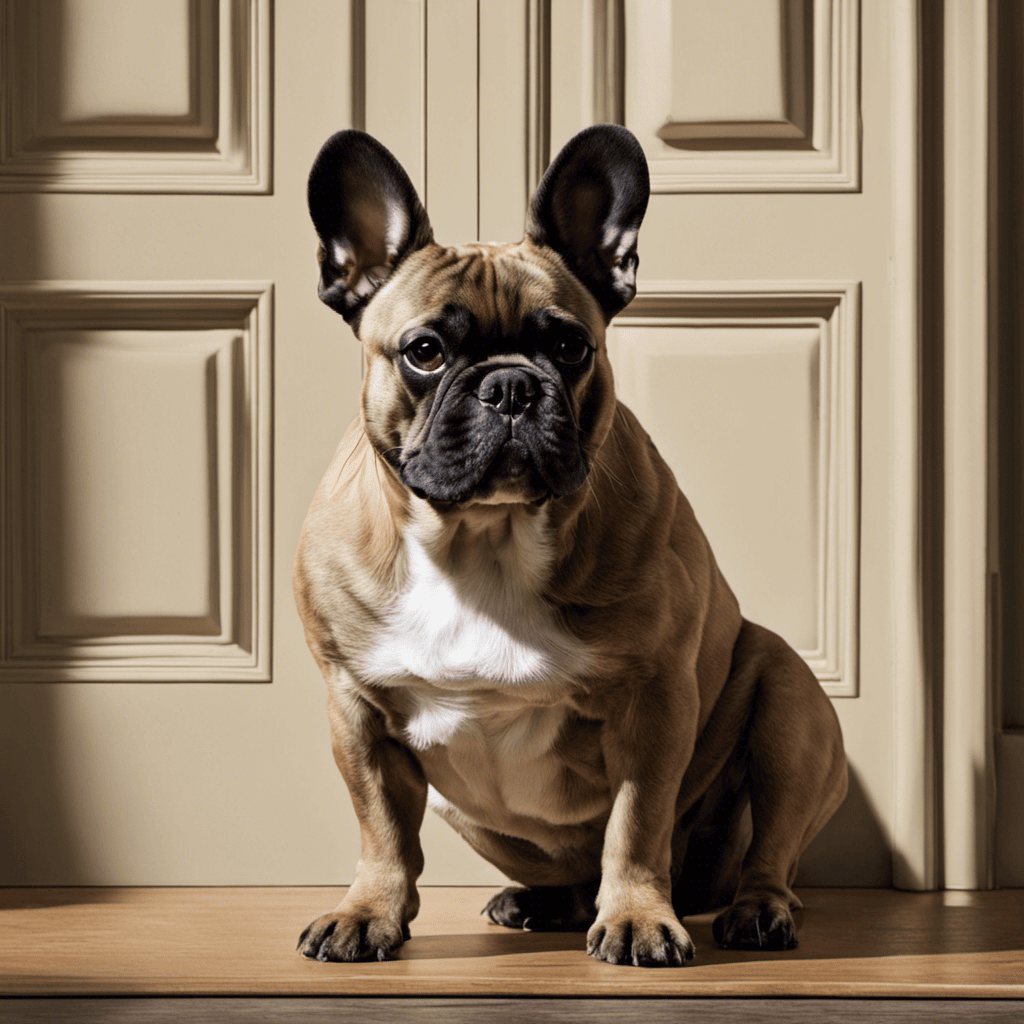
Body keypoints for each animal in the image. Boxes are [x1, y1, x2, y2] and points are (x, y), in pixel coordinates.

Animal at [292, 123, 843, 962]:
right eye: (424, 351)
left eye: (571, 348)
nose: (511, 385)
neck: (483, 539)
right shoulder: (355, 708)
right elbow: (380, 828)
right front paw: (366, 912)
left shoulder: (655, 701)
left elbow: (636, 825)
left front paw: (639, 918)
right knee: (557, 868)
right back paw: (539, 901)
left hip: (791, 703)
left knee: (767, 850)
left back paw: (755, 910)